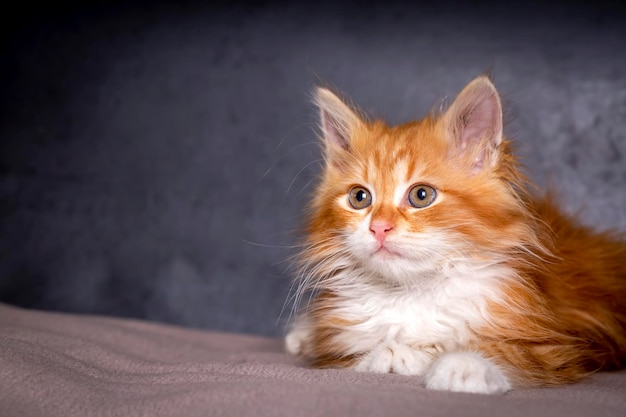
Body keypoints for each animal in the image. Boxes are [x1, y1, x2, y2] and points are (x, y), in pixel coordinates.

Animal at [286, 75, 624, 394]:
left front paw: (463, 365)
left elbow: (510, 354)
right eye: (359, 198)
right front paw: (389, 354)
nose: (379, 226)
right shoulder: (337, 350)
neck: (411, 291)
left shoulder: (557, 349)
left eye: (421, 195)